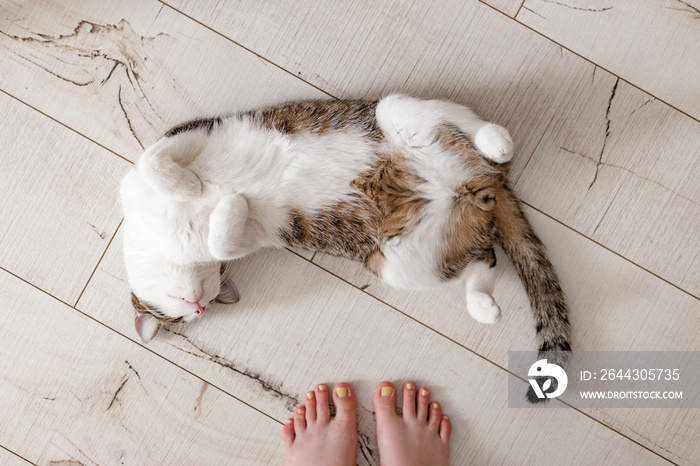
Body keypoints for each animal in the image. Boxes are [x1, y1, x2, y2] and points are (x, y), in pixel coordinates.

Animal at [120, 94, 568, 370]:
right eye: (187, 319)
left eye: (174, 319)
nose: (198, 309)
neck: (157, 228)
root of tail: (479, 185)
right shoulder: (248, 239)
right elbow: (225, 239)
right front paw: (232, 204)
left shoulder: (190, 132)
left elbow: (153, 161)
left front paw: (193, 188)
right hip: (395, 263)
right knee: (483, 259)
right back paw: (483, 305)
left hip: (396, 112)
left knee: (464, 120)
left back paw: (496, 140)